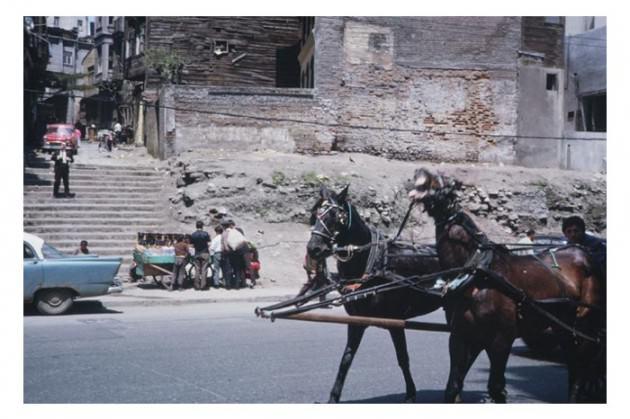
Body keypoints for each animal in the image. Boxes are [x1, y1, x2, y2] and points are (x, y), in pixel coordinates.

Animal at [410, 168, 608, 404]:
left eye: (441, 181)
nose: (419, 172)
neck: (478, 275)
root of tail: (583, 254)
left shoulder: (501, 339)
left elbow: (496, 388)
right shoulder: (461, 336)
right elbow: (453, 387)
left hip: (586, 325)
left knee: (584, 363)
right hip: (564, 326)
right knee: (574, 363)